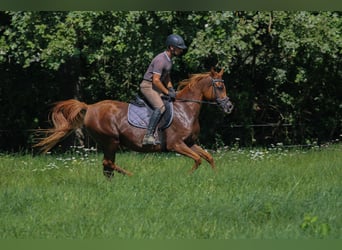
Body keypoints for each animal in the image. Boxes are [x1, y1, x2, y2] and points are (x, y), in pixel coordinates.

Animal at [35, 67, 232, 177]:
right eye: (220, 86)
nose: (229, 106)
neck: (185, 110)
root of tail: (89, 107)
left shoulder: (189, 143)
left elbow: (208, 157)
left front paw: (216, 177)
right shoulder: (176, 144)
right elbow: (198, 160)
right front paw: (186, 176)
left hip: (110, 143)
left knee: (107, 166)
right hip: (111, 140)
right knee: (108, 164)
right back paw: (132, 175)